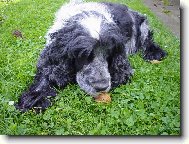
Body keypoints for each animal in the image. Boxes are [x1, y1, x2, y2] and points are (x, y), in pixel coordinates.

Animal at [16, 0, 167, 112]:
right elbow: (46, 72)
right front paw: (35, 97)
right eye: (83, 55)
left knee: (148, 40)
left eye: (110, 53)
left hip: (143, 24)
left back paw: (155, 52)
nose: (101, 87)